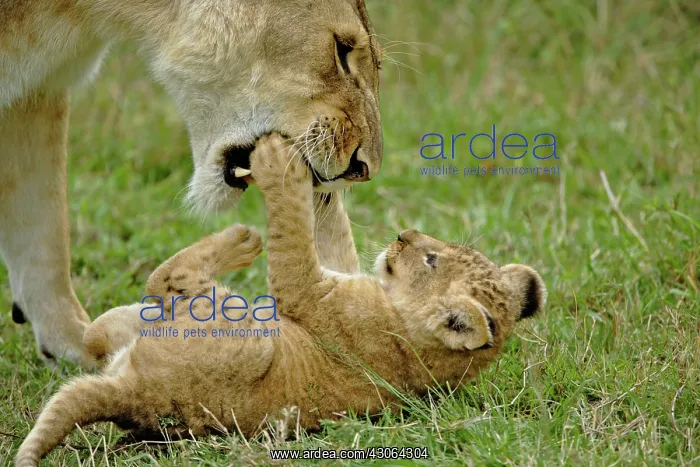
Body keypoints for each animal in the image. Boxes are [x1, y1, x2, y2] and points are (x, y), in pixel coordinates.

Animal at [15, 135, 546, 466]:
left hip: (245, 331)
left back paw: (242, 238)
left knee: (167, 280)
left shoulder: (308, 292)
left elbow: (292, 237)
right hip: (134, 327)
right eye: (442, 249)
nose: (403, 236)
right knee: (102, 331)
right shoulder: (340, 275)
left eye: (431, 259)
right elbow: (330, 233)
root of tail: (136, 394)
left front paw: (278, 162)